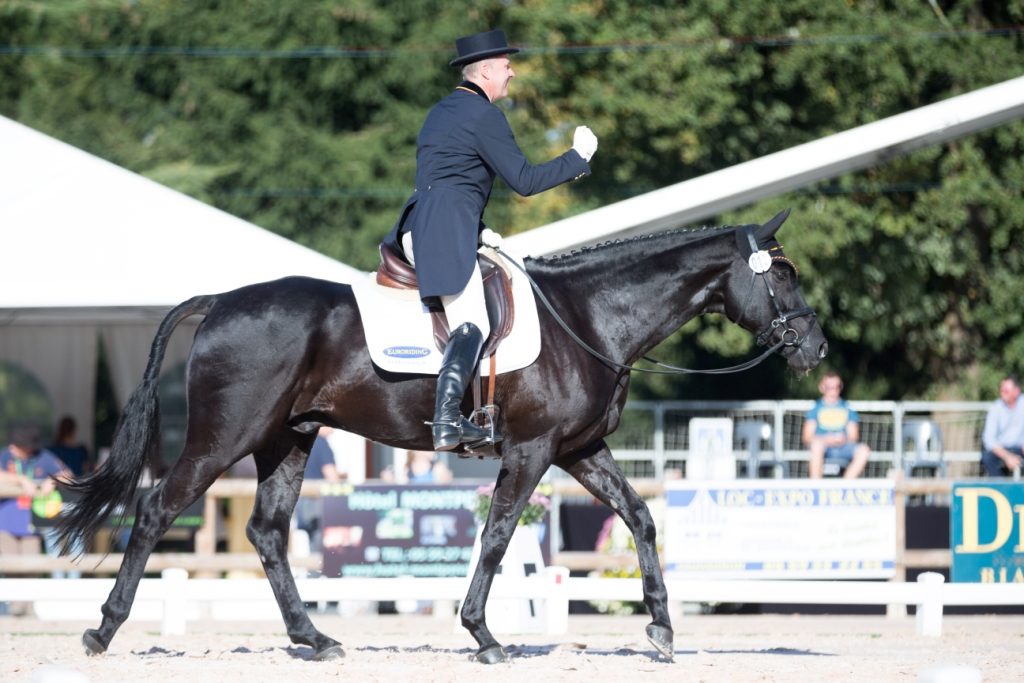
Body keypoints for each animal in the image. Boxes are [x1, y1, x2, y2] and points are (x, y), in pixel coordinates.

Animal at [56, 208, 823, 663]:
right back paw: (103, 628)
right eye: (782, 272)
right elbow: (499, 534)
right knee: (157, 509)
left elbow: (639, 516)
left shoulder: (580, 450)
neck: (588, 317)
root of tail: (219, 301)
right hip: (225, 438)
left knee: (267, 532)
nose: (815, 347)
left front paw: (661, 627)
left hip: (288, 439)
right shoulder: (533, 451)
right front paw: (484, 634)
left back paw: (314, 638)